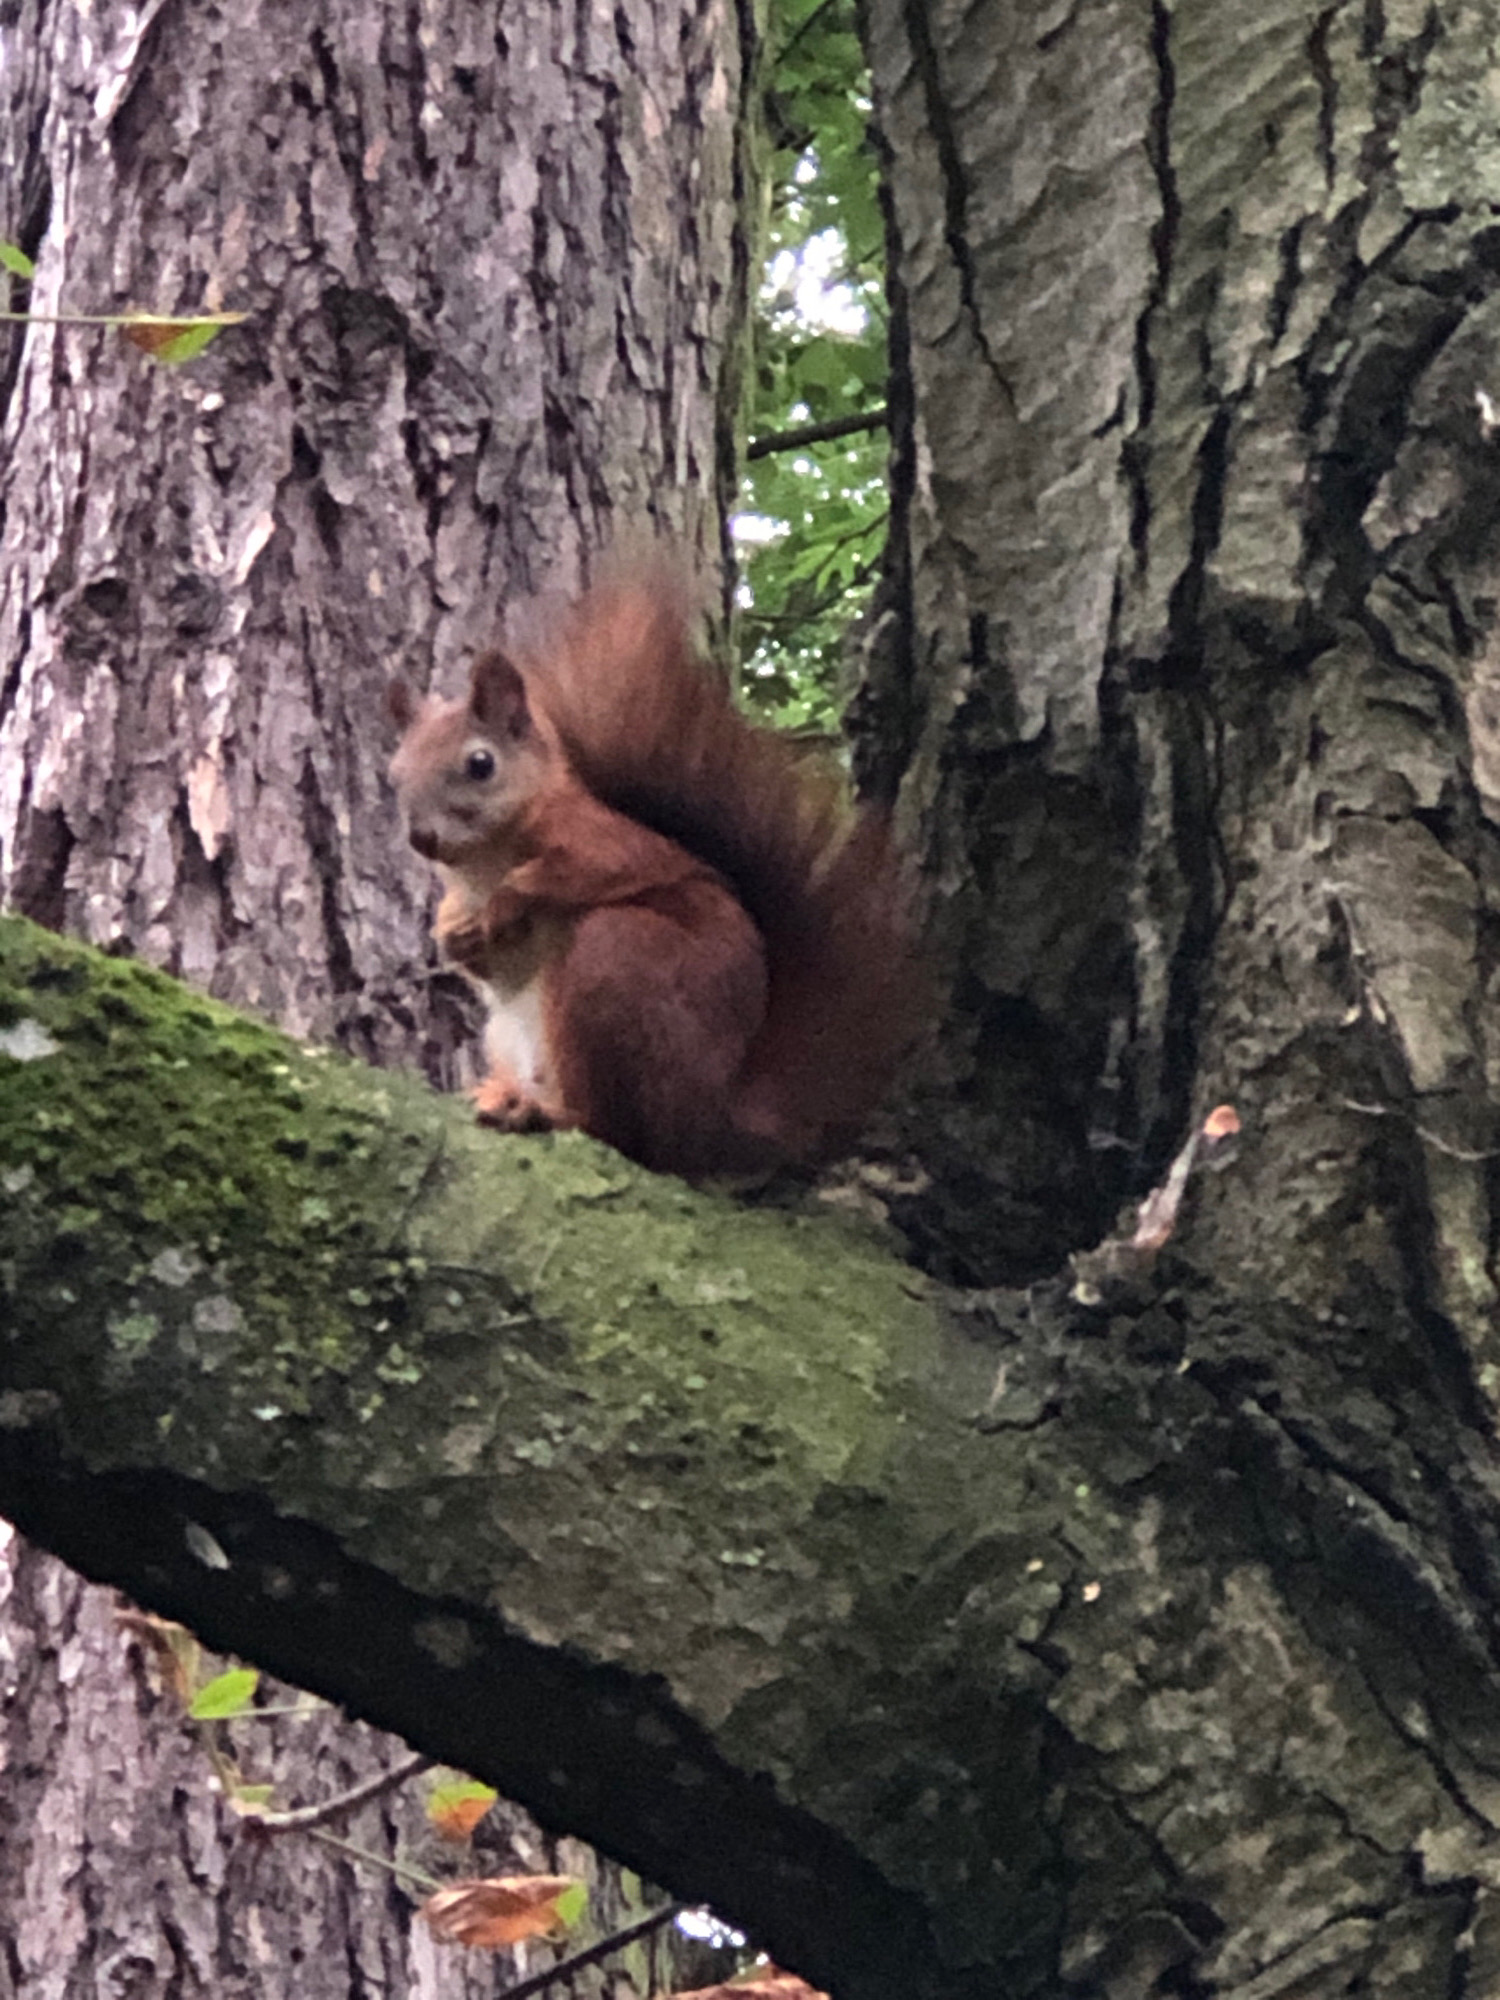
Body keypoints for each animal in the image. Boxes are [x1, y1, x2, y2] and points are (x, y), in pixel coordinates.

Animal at [388, 581, 925, 1178]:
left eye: (481, 764)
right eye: (395, 775)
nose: (421, 839)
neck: (483, 861)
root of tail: (712, 1123)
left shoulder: (606, 842)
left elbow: (581, 873)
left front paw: (507, 900)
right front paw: (451, 932)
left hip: (618, 960)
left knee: (618, 1132)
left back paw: (544, 1112)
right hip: (510, 1033)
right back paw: (504, 1094)